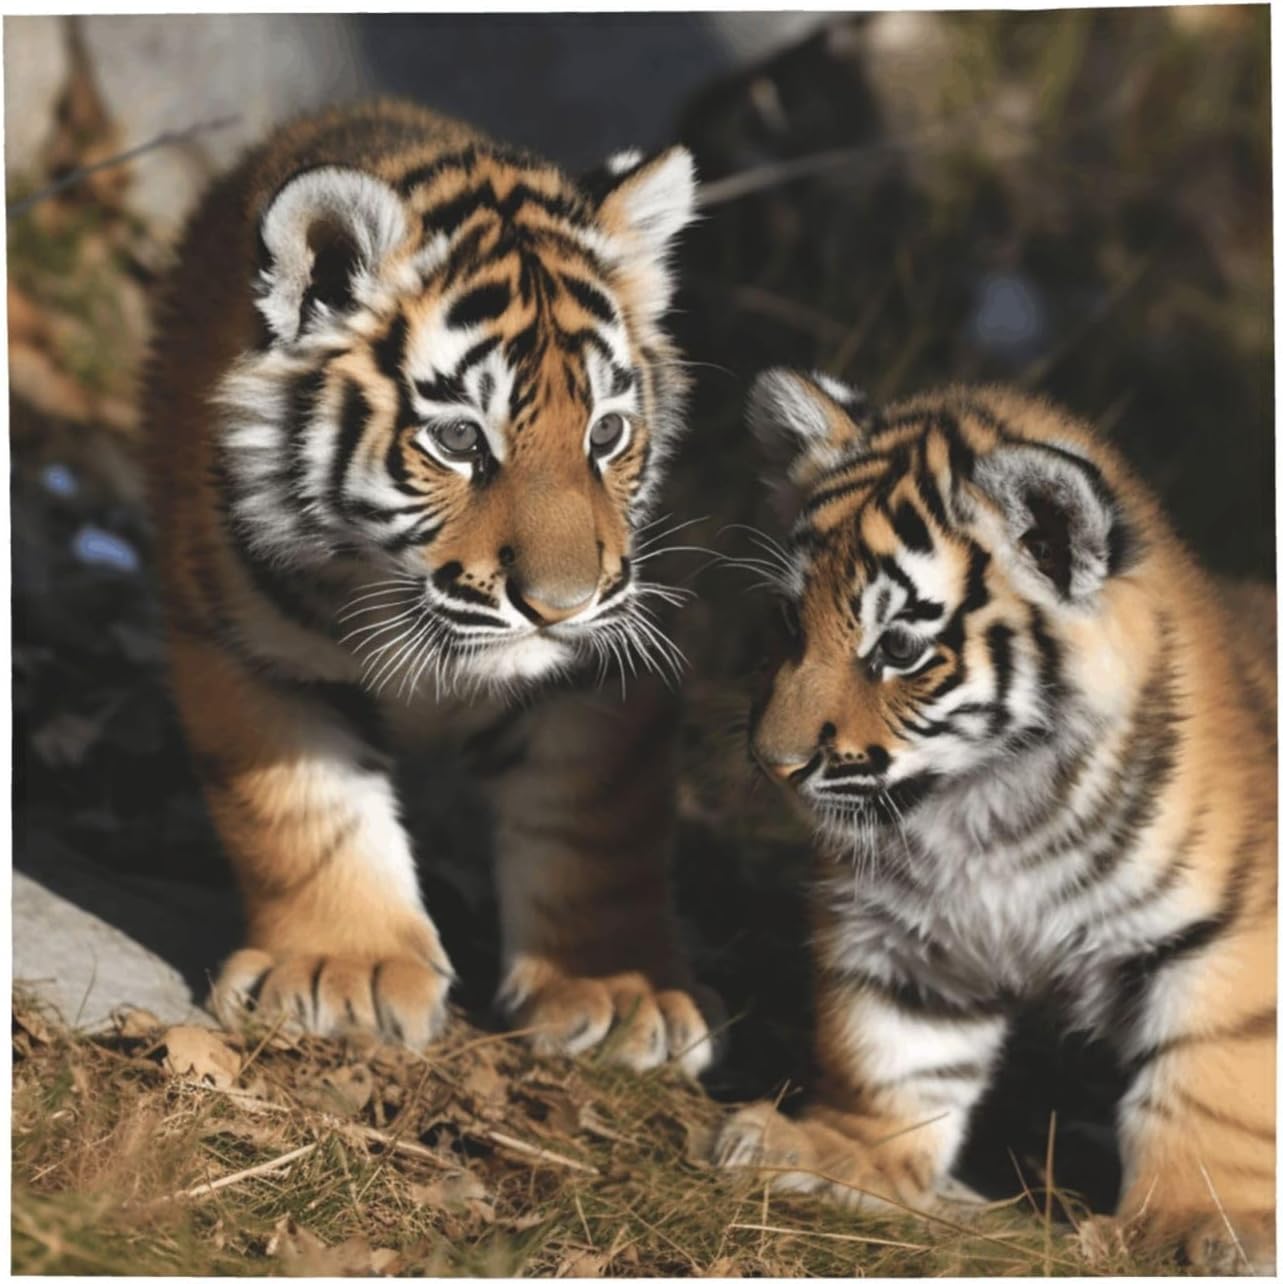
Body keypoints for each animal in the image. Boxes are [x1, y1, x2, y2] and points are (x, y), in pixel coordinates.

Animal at [140, 98, 718, 1075]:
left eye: (604, 434)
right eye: (457, 439)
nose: (560, 607)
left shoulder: (606, 672)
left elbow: (595, 829)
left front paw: (615, 995)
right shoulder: (250, 651)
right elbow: (307, 817)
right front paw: (347, 971)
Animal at [712, 371, 1276, 1271]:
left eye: (898, 648)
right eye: (789, 621)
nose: (774, 762)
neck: (984, 807)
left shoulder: (1224, 932)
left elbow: (1207, 1083)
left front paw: (1189, 1228)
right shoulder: (901, 932)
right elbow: (891, 1047)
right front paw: (844, 1154)